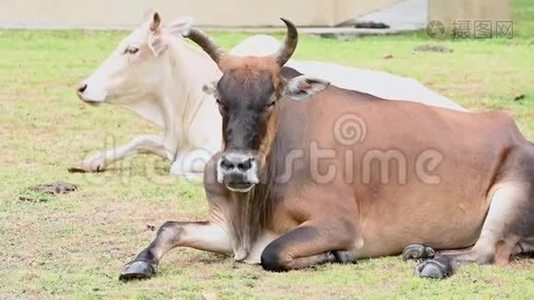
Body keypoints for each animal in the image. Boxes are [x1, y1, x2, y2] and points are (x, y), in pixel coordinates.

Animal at [73, 11, 466, 177]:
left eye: (133, 49)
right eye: (219, 100)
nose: (83, 87)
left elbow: (178, 166)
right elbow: (142, 140)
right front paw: (91, 160)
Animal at [119, 19, 534, 280]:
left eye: (271, 100)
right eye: (221, 100)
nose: (235, 167)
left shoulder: (338, 224)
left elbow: (272, 254)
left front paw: (338, 254)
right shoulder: (226, 227)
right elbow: (169, 228)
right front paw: (139, 263)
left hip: (511, 196)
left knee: (487, 251)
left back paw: (434, 263)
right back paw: (422, 250)